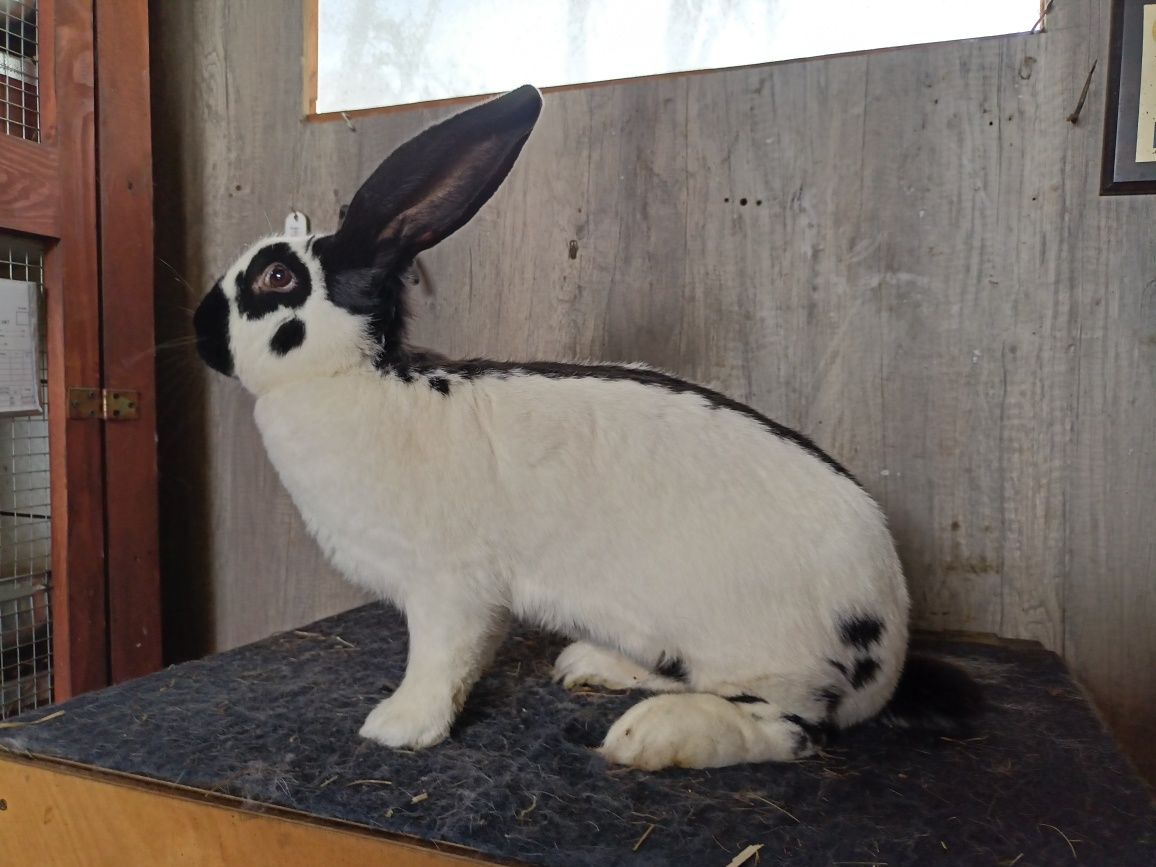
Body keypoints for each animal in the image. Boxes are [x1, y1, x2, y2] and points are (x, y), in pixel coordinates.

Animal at [194, 84, 980, 772]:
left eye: (274, 279)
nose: (201, 332)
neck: (353, 380)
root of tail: (891, 644)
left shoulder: (451, 587)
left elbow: (442, 661)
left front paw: (397, 726)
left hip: (773, 656)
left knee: (786, 728)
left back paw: (653, 737)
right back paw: (593, 664)